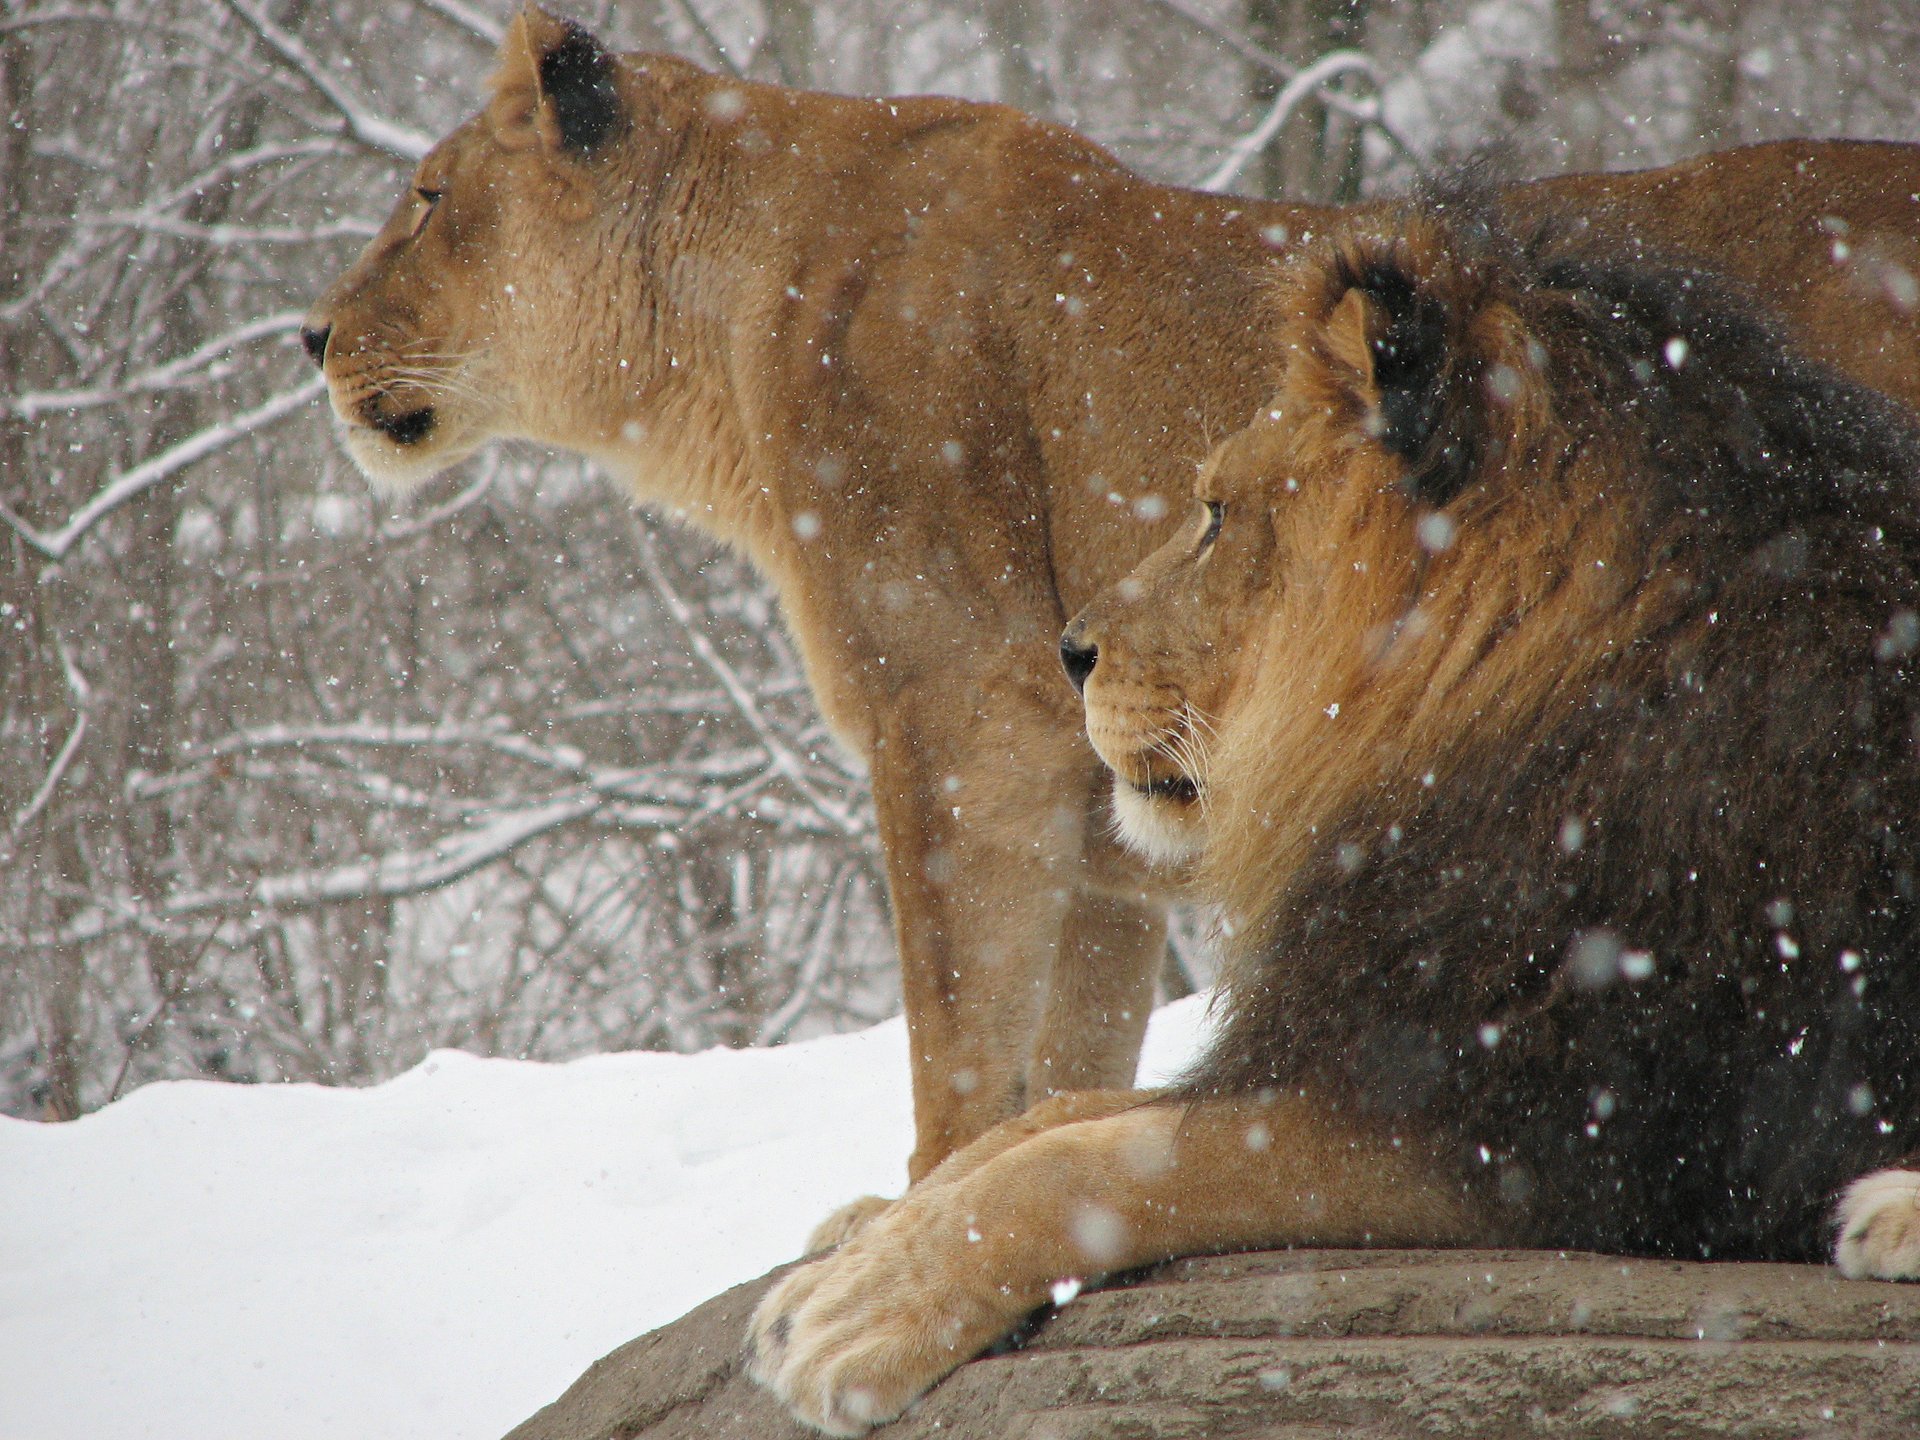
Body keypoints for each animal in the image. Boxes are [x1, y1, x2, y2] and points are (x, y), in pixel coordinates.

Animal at [302, 4, 1920, 1206]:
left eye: (426, 201)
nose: (311, 333)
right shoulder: (1105, 825)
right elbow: (1073, 1061)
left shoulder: (966, 722)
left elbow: (958, 1044)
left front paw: (917, 1213)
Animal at [746, 196, 1920, 1435]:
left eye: (1217, 514)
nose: (1069, 651)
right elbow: (1053, 1121)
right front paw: (853, 1247)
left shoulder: (1536, 1120)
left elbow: (1105, 1163)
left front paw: (858, 1310)